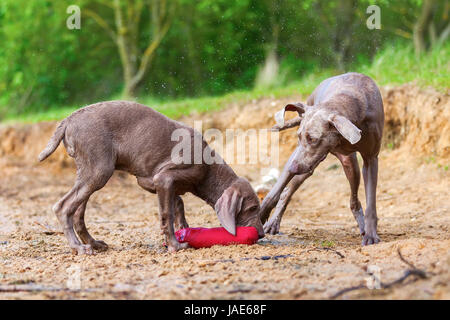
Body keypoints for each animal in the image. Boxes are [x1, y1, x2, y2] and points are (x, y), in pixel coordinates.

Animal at [39, 101, 264, 254]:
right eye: (253, 208)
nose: (261, 234)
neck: (209, 168)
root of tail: (68, 119)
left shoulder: (157, 183)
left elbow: (179, 205)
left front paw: (185, 230)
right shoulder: (164, 179)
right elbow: (167, 214)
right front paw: (175, 246)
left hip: (89, 172)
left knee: (77, 213)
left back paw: (93, 243)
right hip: (99, 170)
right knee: (63, 207)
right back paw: (78, 247)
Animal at [260, 72, 384, 246]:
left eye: (313, 139)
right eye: (299, 136)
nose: (292, 168)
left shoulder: (371, 159)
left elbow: (371, 202)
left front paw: (371, 234)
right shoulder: (298, 155)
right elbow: (274, 192)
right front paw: (261, 214)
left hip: (348, 165)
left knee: (354, 200)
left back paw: (362, 226)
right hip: (309, 165)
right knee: (286, 190)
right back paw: (273, 222)